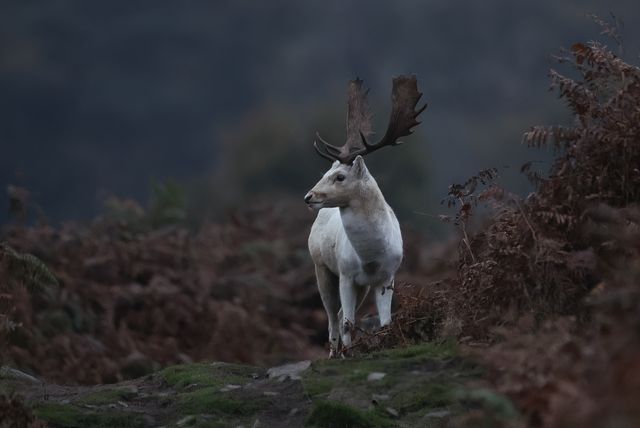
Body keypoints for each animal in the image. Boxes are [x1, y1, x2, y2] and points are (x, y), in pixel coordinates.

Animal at [304, 75, 426, 357]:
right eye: (325, 172)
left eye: (340, 176)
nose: (309, 196)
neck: (370, 258)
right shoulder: (347, 275)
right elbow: (348, 322)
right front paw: (348, 354)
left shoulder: (387, 277)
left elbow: (385, 322)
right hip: (322, 268)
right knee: (333, 317)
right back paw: (333, 353)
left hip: (362, 286)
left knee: (338, 314)